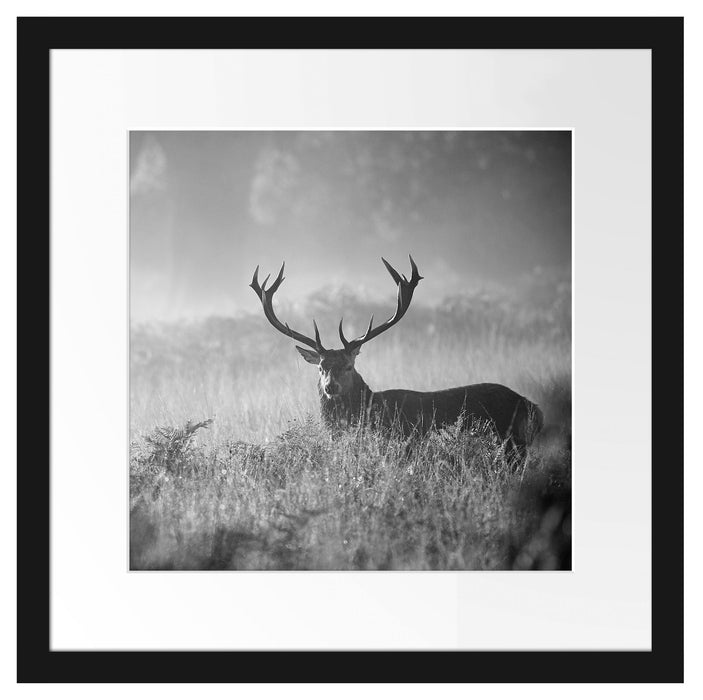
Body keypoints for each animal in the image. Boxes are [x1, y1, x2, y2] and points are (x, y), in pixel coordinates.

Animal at [250, 255, 544, 450]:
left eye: (348, 366)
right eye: (321, 367)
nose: (330, 387)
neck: (373, 410)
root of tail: (534, 407)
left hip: (511, 442)